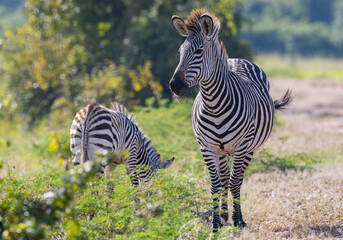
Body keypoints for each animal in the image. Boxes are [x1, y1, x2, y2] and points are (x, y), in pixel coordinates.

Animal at [169, 8, 292, 231]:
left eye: (198, 52)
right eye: (180, 52)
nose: (175, 86)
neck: (214, 105)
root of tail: (236, 59)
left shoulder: (241, 146)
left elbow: (235, 182)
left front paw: (237, 220)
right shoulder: (207, 147)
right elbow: (216, 185)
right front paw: (216, 223)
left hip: (249, 148)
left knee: (238, 179)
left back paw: (238, 217)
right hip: (221, 150)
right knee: (226, 177)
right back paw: (225, 215)